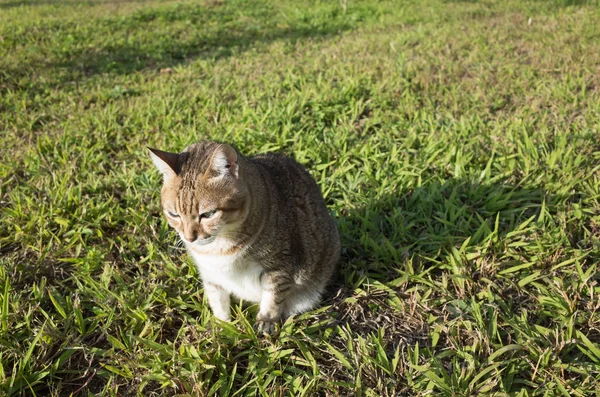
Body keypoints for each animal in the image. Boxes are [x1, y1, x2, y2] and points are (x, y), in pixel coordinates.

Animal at [148, 141, 340, 332]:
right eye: (174, 214)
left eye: (208, 214)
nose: (189, 238)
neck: (219, 246)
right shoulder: (210, 274)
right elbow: (218, 300)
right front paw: (223, 326)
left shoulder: (280, 265)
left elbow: (273, 296)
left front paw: (266, 321)